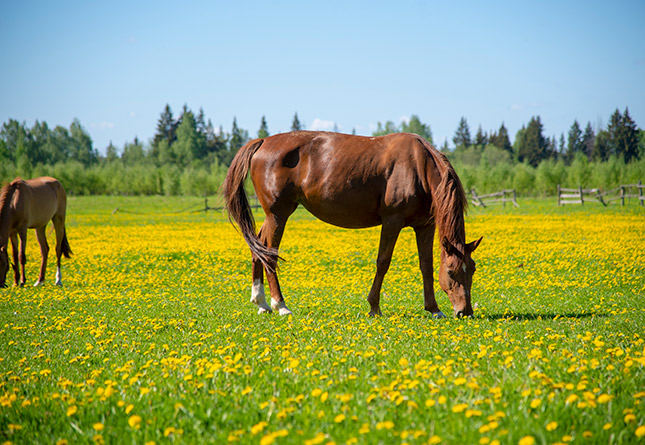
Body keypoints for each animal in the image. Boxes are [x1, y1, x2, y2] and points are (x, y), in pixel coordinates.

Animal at [223, 131, 482, 318]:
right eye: (451, 271)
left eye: (473, 268)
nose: (465, 312)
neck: (418, 166)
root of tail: (262, 142)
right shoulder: (392, 221)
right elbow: (383, 262)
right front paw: (374, 307)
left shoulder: (425, 226)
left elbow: (426, 265)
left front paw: (434, 309)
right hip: (278, 215)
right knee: (270, 254)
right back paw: (280, 305)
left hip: (272, 217)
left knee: (258, 249)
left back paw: (261, 303)